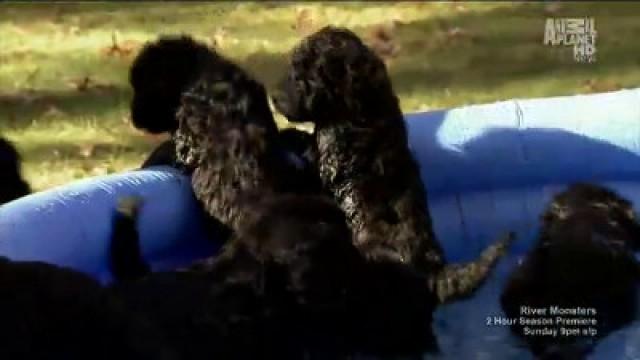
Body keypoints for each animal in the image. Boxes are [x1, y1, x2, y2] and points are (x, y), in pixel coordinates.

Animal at [272, 26, 512, 306]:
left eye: (303, 75)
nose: (274, 98)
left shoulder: (327, 161)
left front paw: (288, 135)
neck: (362, 103)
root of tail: (434, 274)